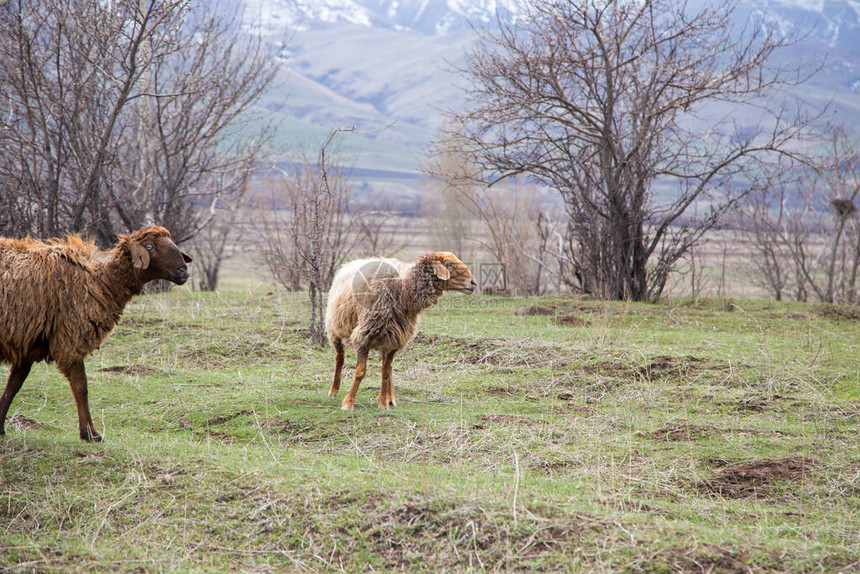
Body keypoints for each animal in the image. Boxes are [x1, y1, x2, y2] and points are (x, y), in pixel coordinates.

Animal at [0, 225, 191, 440]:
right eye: (149, 246)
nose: (183, 270)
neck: (100, 282)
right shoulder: (70, 338)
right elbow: (81, 386)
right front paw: (90, 433)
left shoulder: (27, 344)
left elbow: (13, 386)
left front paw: (0, 427)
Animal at [324, 254, 474, 412]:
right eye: (449, 265)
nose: (473, 283)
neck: (403, 290)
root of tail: (350, 263)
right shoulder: (364, 336)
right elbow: (360, 372)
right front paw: (349, 402)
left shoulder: (394, 339)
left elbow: (385, 373)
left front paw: (383, 403)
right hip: (334, 329)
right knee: (339, 359)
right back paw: (333, 390)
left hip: (390, 336)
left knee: (388, 368)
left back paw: (390, 399)